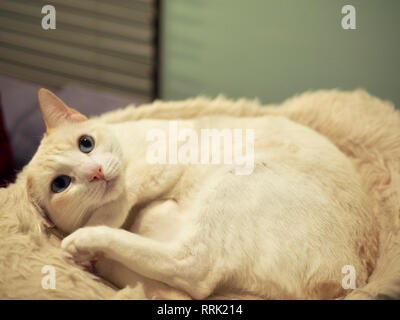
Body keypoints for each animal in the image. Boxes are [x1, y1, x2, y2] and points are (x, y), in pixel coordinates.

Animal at [25, 88, 378, 300]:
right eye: (61, 184)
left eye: (86, 143)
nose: (96, 172)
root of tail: (351, 278)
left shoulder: (165, 153)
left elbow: (126, 189)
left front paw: (100, 220)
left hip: (239, 178)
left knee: (194, 269)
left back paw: (87, 240)